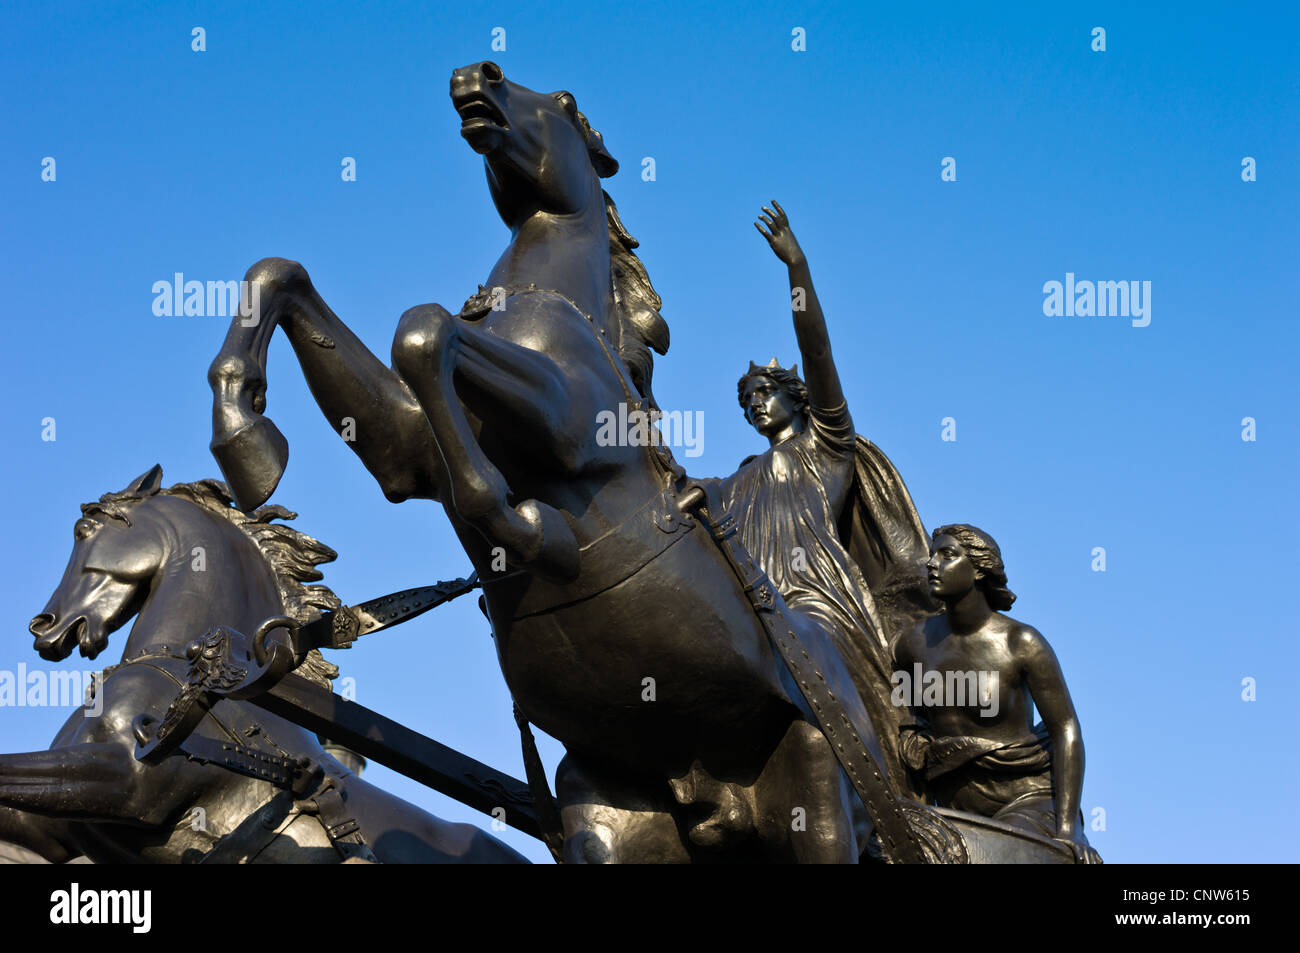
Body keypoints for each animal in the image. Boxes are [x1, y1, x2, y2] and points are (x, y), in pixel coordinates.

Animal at [205, 61, 935, 863]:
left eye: (562, 102)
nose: (477, 73)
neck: (543, 304)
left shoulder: (566, 426)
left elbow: (427, 332)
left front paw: (523, 525)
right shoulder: (405, 455)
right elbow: (290, 277)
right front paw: (246, 437)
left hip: (817, 785)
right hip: (610, 810)